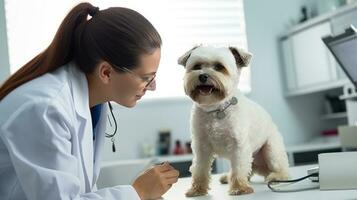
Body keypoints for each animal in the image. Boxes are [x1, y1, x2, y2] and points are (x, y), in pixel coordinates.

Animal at [178, 45, 290, 197]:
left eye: (219, 67)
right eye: (197, 66)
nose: (202, 76)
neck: (217, 108)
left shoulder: (238, 146)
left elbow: (238, 168)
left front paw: (239, 188)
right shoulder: (201, 147)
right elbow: (200, 169)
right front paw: (197, 189)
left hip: (271, 151)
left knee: (282, 170)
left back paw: (276, 177)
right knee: (248, 171)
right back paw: (228, 176)